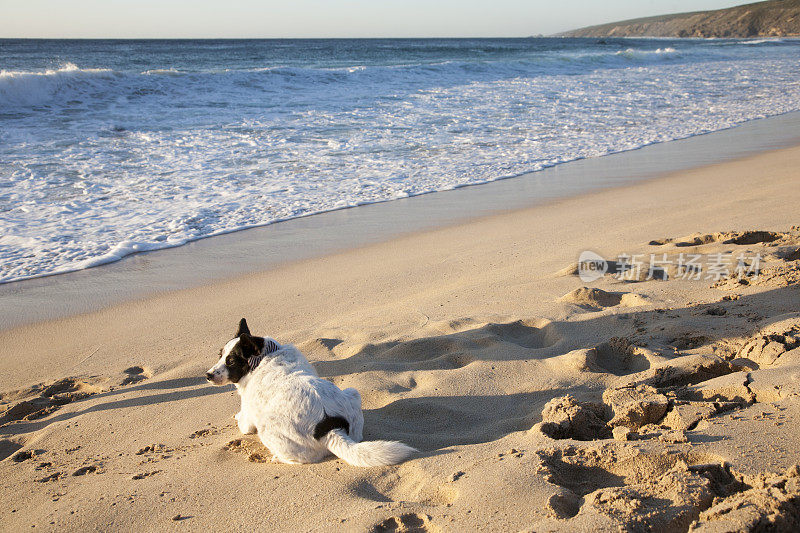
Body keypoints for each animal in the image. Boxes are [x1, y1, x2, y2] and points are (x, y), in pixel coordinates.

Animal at [206, 318, 416, 464]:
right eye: (220, 355)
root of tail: (330, 427)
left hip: (267, 429)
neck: (265, 355)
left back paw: (277, 458)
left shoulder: (249, 419)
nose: (207, 375)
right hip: (353, 392)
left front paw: (236, 415)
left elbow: (242, 421)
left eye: (231, 361)